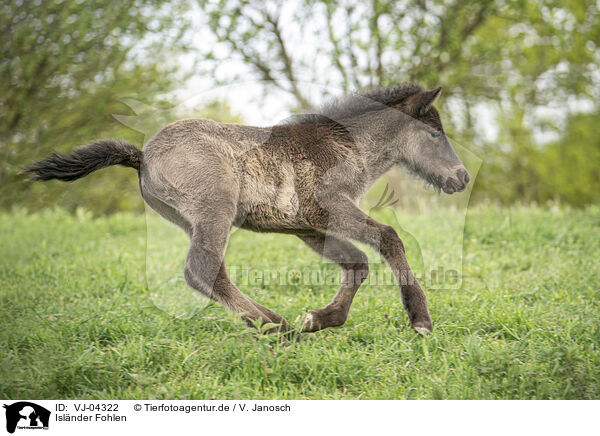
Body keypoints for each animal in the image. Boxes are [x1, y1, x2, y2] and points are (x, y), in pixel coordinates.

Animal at [24, 84, 468, 338]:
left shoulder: (308, 226)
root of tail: (142, 156)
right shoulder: (330, 208)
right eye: (434, 133)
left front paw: (320, 319)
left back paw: (280, 324)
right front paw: (420, 320)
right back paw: (273, 326)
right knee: (201, 268)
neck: (345, 145)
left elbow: (356, 261)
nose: (461, 177)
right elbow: (389, 238)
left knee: (211, 271)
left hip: (194, 220)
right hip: (215, 210)